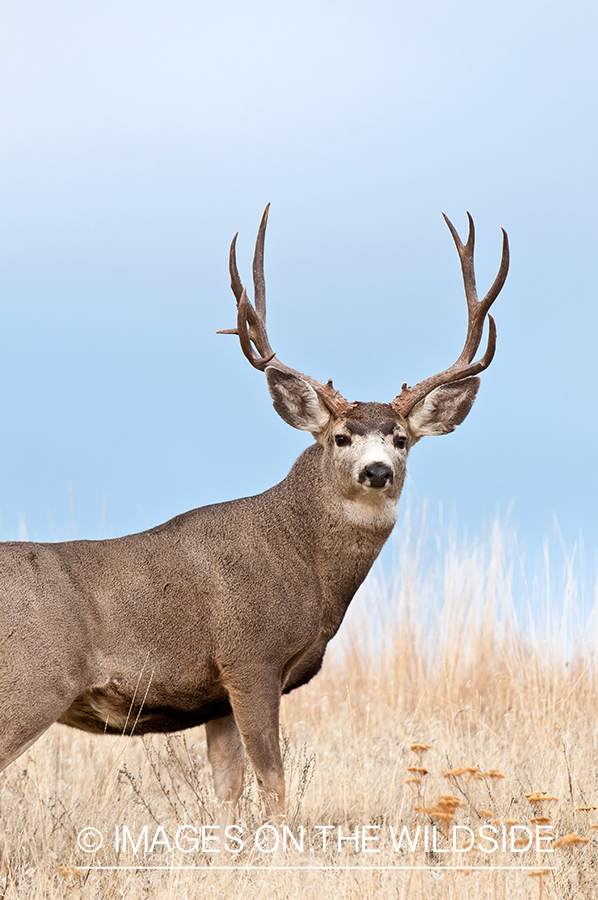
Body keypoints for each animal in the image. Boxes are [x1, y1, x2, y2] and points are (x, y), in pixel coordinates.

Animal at [0, 207, 508, 827]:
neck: (303, 564)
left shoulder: (217, 697)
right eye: (341, 437)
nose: (378, 471)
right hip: (31, 683)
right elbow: (275, 783)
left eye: (402, 438)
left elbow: (227, 792)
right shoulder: (250, 659)